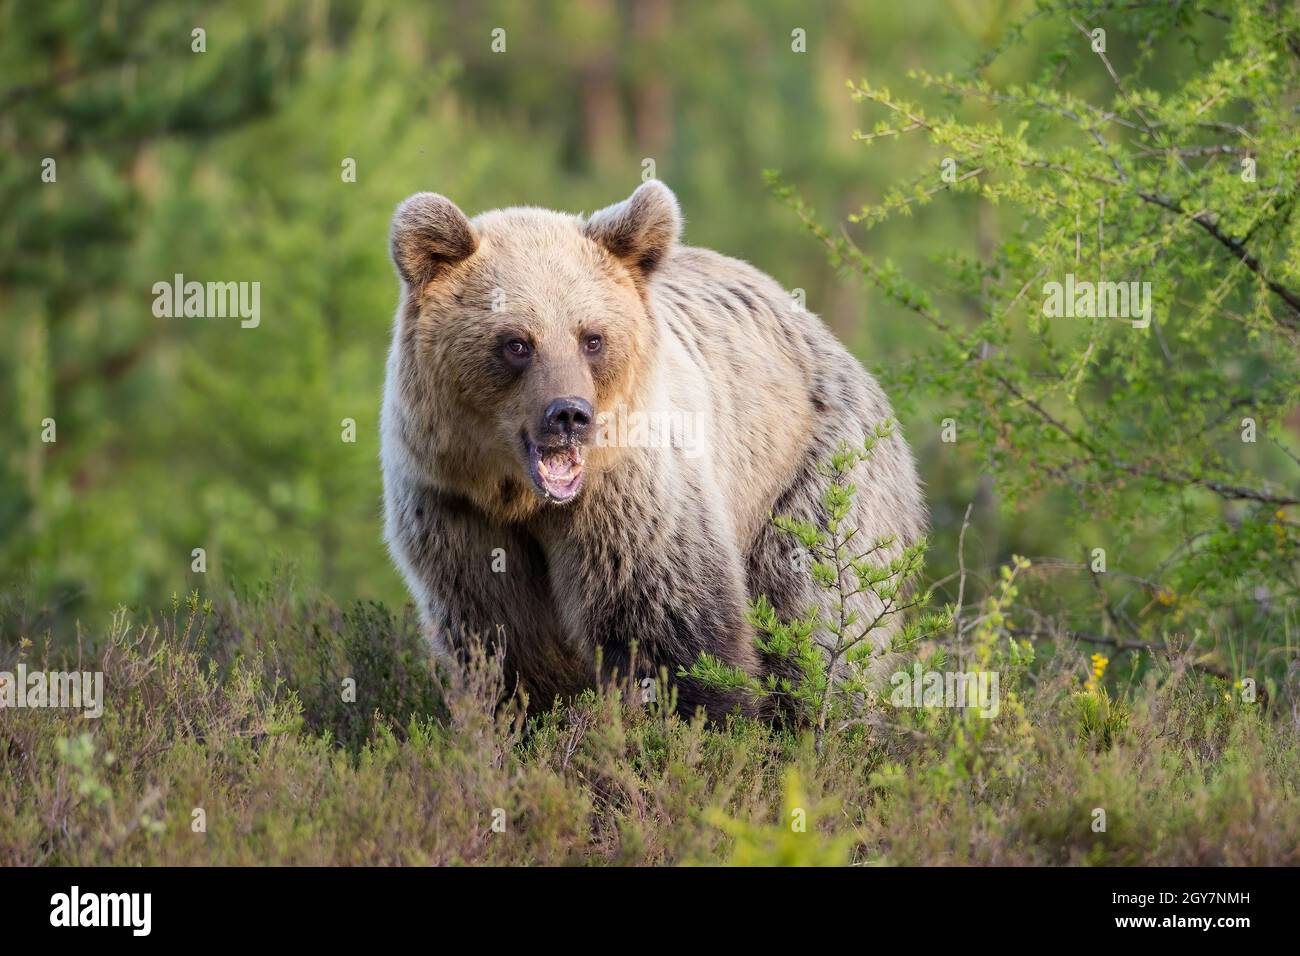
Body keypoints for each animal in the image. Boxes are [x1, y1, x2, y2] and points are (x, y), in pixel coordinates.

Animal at [380, 180, 926, 721]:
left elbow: (670, 627)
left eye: (592, 338)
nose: (569, 415)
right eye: (517, 342)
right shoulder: (455, 510)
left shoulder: (632, 497)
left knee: (819, 612)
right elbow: (505, 647)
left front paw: (701, 718)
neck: (521, 499)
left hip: (816, 473)